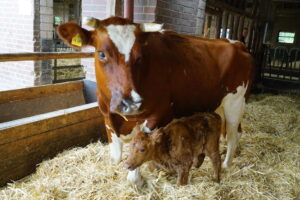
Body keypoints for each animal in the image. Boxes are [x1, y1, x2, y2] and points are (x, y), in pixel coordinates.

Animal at [56, 16, 253, 185]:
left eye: (140, 57)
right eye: (102, 54)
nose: (130, 103)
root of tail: (236, 43)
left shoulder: (158, 116)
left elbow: (137, 160)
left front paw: (137, 179)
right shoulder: (107, 117)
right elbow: (115, 157)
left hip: (235, 102)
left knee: (233, 135)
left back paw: (226, 165)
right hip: (219, 105)